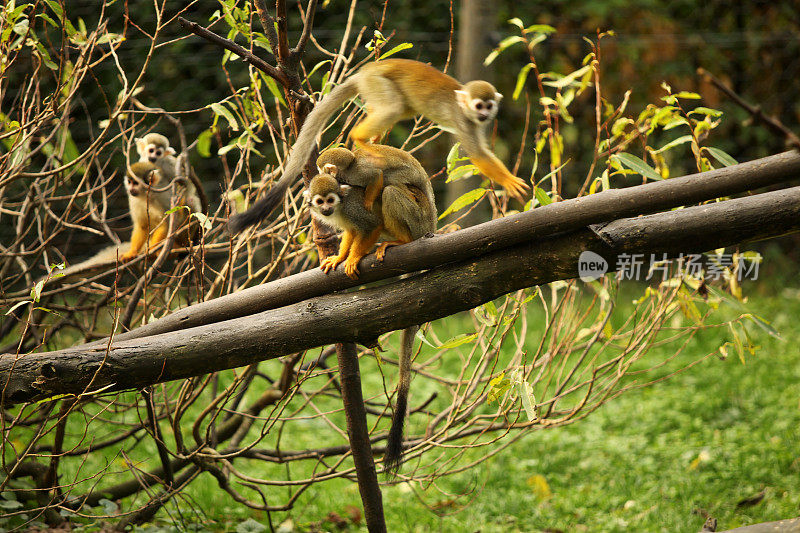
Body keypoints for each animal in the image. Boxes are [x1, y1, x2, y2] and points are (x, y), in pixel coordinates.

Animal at [228, 58, 528, 233]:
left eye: (488, 106)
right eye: (479, 105)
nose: (485, 114)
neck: (465, 109)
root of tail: (366, 71)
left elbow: (481, 152)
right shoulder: (463, 120)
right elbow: (477, 154)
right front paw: (510, 181)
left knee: (398, 110)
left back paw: (370, 140)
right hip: (377, 83)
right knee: (392, 108)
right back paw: (361, 138)